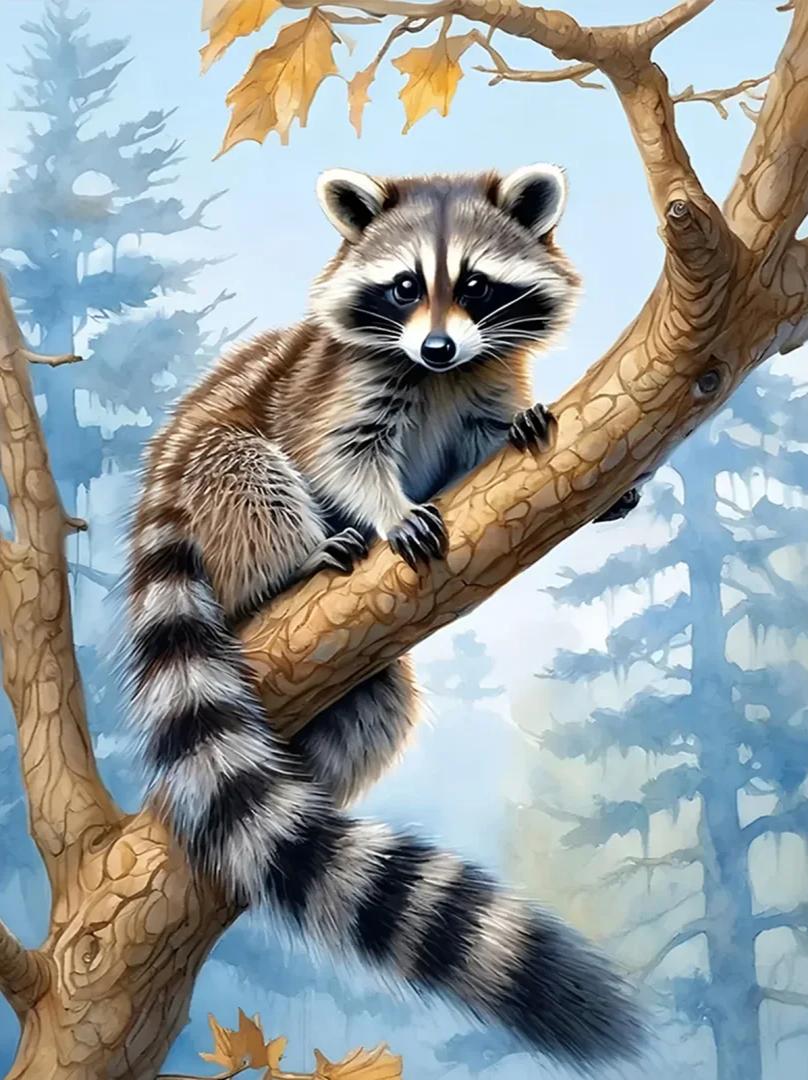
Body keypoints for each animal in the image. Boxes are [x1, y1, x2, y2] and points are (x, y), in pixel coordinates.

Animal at [126, 164, 644, 1067]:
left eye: (475, 286)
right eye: (404, 287)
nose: (436, 347)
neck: (437, 375)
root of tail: (160, 483)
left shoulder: (479, 382)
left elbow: (484, 444)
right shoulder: (337, 384)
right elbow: (338, 452)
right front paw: (382, 508)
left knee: (378, 707)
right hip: (209, 499)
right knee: (239, 461)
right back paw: (287, 563)